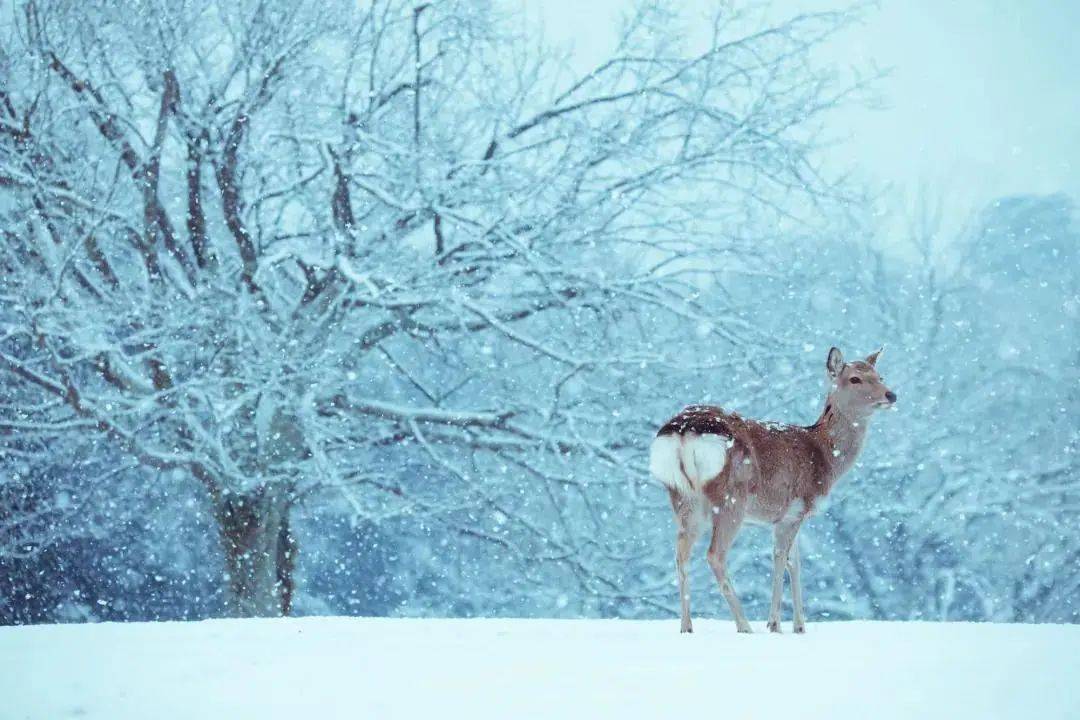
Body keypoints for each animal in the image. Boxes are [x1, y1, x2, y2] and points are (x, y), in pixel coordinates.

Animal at [648, 345, 894, 634]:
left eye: (880, 376)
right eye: (855, 378)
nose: (891, 394)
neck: (824, 455)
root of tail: (683, 431)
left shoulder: (790, 516)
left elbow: (795, 563)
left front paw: (800, 627)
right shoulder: (795, 508)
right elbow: (780, 559)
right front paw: (775, 624)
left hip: (684, 498)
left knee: (680, 555)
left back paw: (686, 627)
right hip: (731, 498)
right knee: (714, 555)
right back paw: (744, 625)